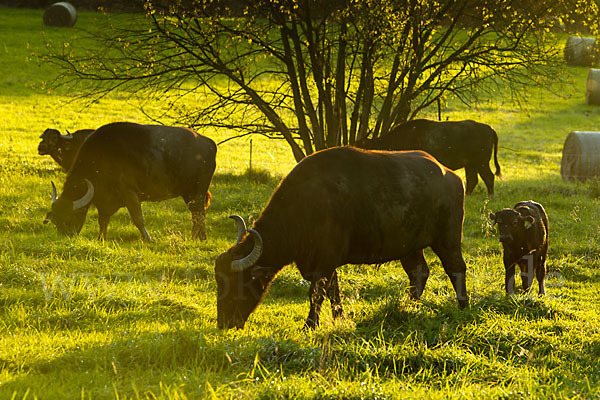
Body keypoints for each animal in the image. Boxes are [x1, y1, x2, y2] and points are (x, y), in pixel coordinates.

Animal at [45, 121, 218, 241]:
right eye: (55, 221)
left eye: (69, 218)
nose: (66, 237)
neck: (101, 157)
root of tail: (209, 143)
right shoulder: (103, 201)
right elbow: (103, 220)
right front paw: (101, 238)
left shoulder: (129, 193)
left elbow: (138, 219)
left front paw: (148, 239)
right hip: (188, 193)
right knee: (197, 213)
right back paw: (198, 237)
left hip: (198, 191)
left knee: (199, 214)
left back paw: (198, 237)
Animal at [214, 147, 468, 328]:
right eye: (219, 283)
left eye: (239, 282)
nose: (224, 323)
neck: (304, 206)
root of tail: (451, 176)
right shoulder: (322, 263)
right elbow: (333, 291)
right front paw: (339, 317)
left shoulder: (325, 261)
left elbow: (316, 293)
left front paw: (310, 324)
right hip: (410, 247)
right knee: (418, 272)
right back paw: (409, 305)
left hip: (448, 239)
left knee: (456, 268)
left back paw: (462, 305)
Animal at [356, 119, 502, 196]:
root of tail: (489, 129)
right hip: (471, 165)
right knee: (473, 180)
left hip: (481, 163)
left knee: (488, 177)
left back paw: (491, 196)